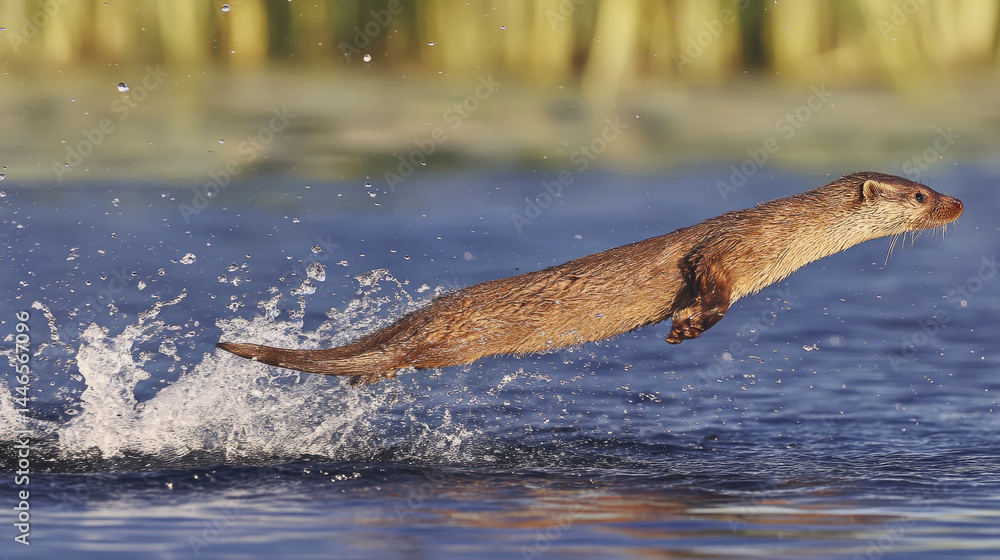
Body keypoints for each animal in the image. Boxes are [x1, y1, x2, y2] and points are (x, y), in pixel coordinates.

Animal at [217, 172, 963, 384]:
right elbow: (709, 287)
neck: (780, 242)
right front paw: (687, 327)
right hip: (455, 336)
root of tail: (428, 308)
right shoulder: (726, 251)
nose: (957, 202)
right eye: (920, 195)